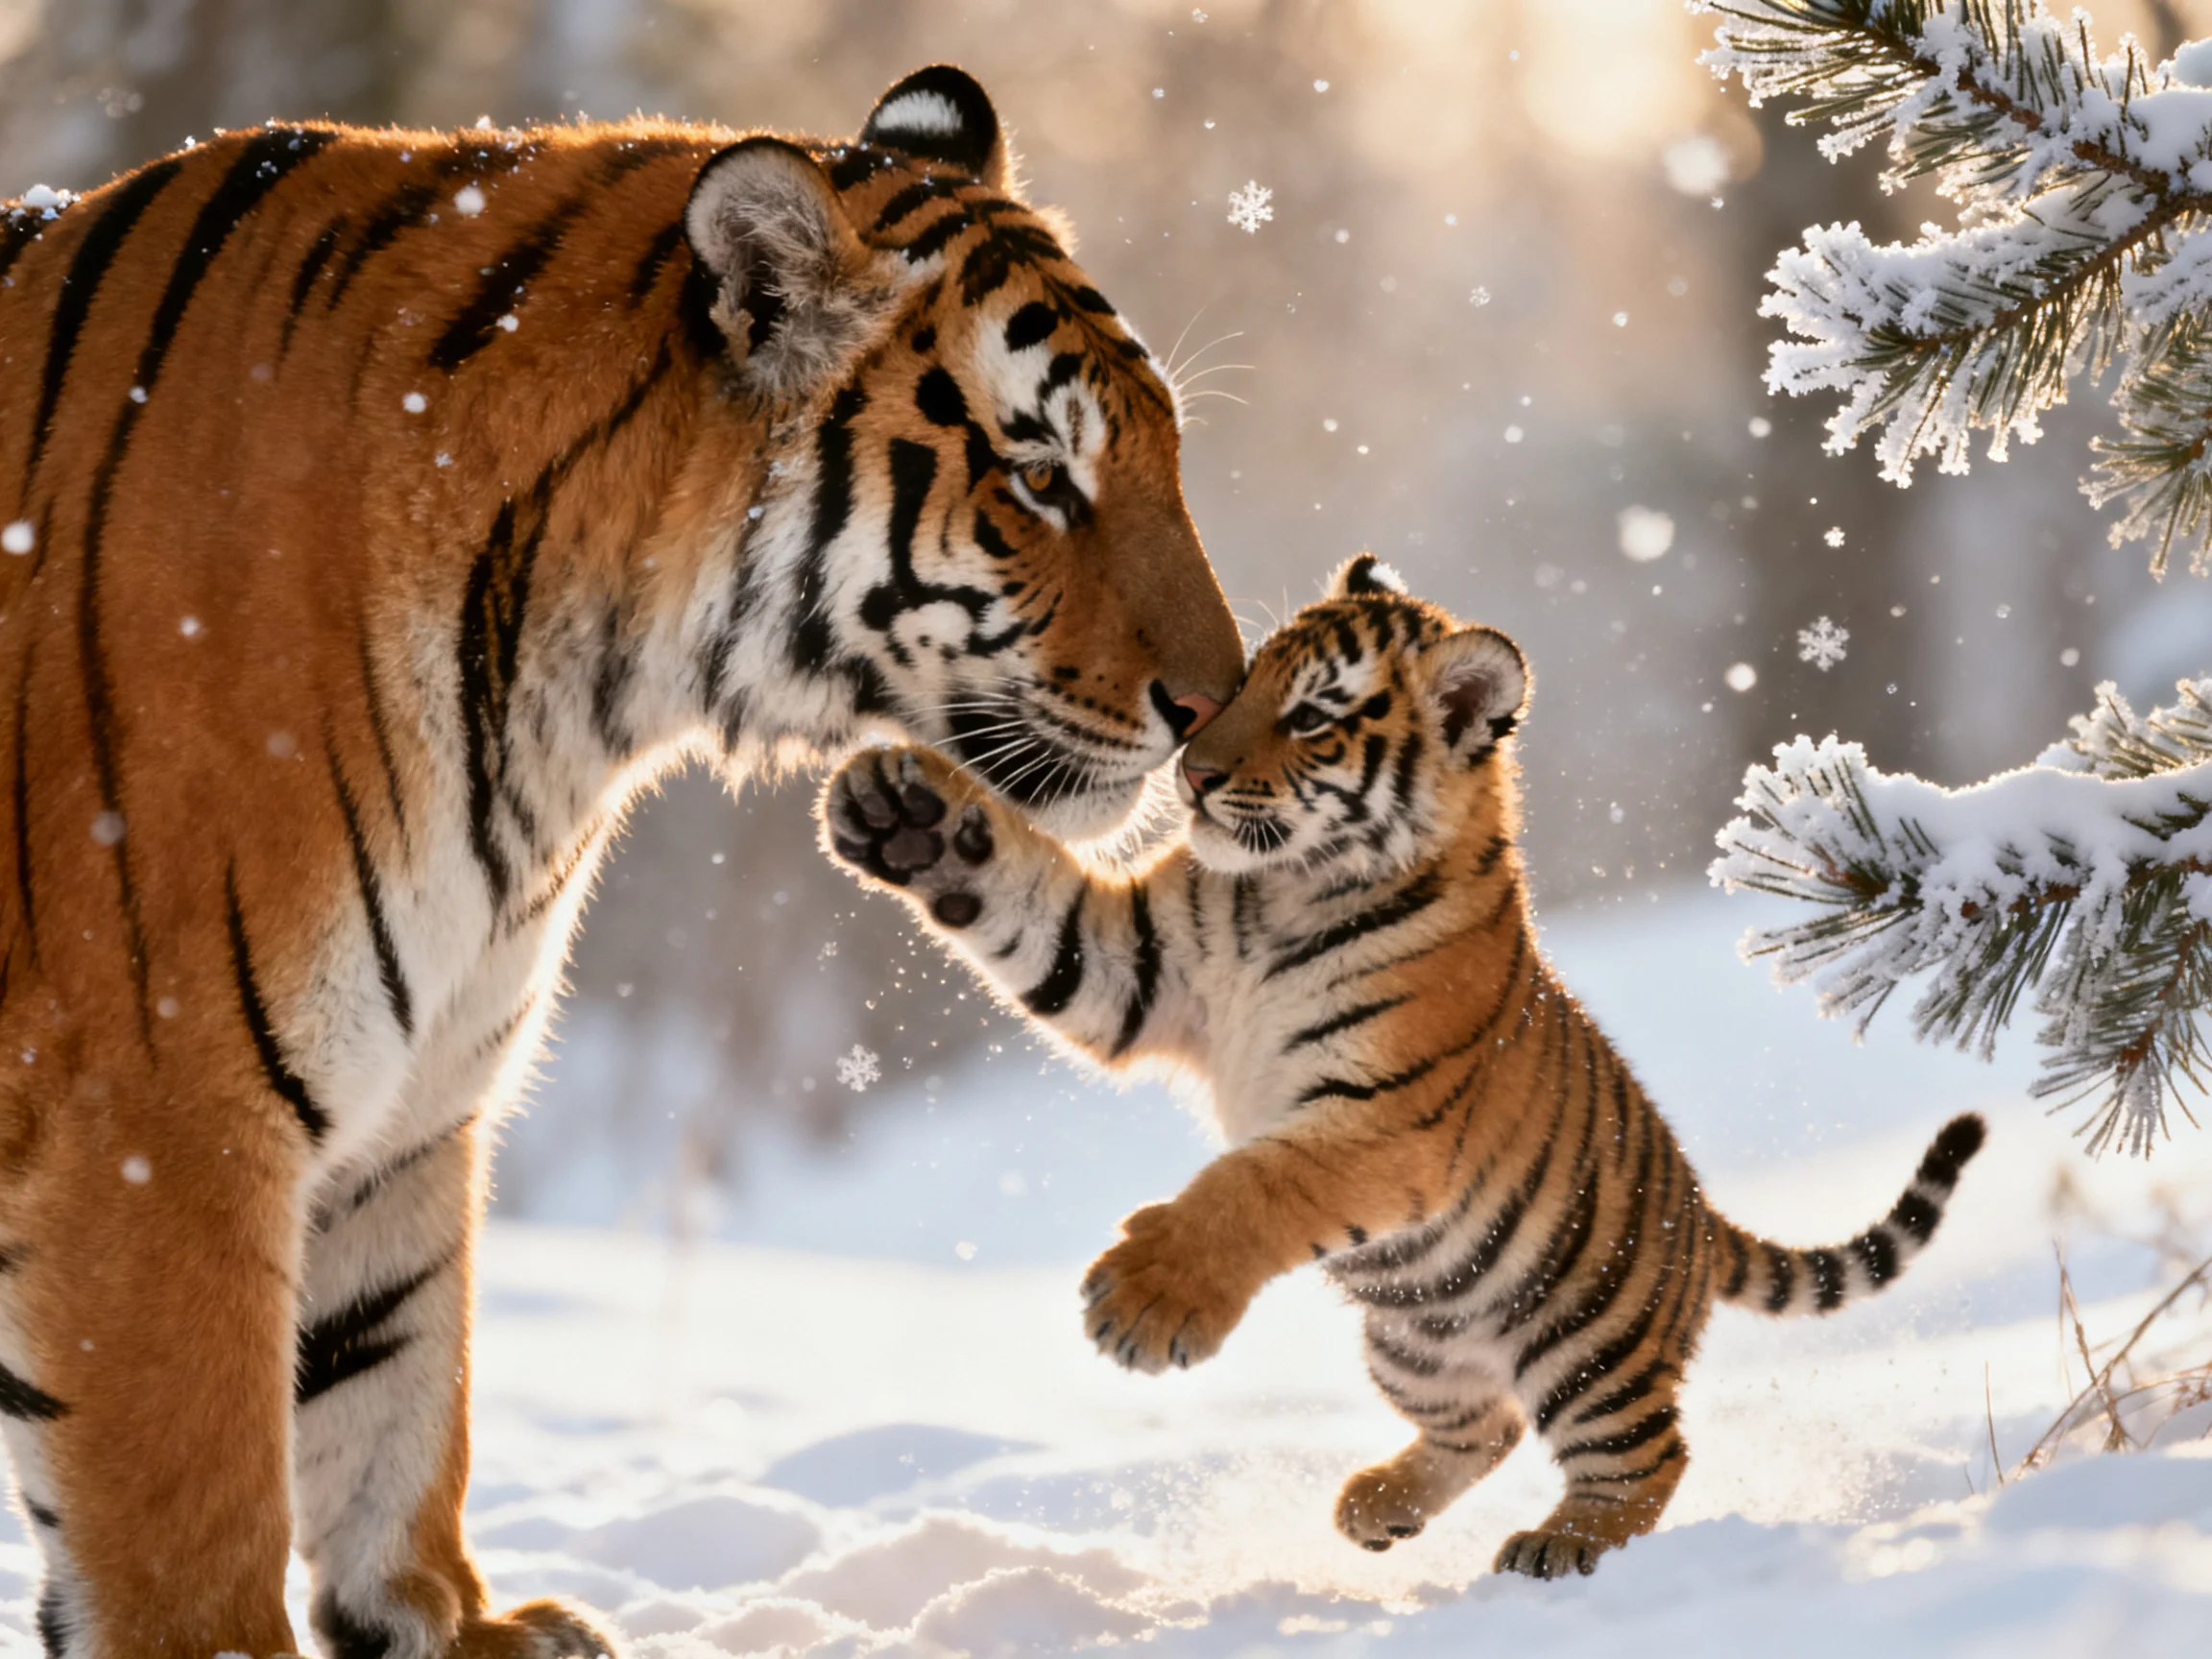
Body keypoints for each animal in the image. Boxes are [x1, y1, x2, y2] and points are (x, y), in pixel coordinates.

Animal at [0, 62, 1242, 1659]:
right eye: (1039, 479)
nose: (1218, 706)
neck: (557, 699)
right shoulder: (164, 1125)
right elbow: (193, 1531)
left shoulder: (408, 1112)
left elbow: (390, 1380)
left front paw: (450, 1622)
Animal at [822, 553, 1985, 1581]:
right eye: (1239, 687)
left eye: (1310, 717)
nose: (1191, 773)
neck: (1283, 893)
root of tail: (1702, 1219)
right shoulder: (1137, 970)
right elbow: (1032, 906)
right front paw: (902, 812)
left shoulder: (1381, 1122)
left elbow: (1254, 1185)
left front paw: (1147, 1303)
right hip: (1418, 1341)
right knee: (1487, 1425)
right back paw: (1373, 1507)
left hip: (1591, 1346)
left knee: (1650, 1455)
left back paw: (1562, 1546)